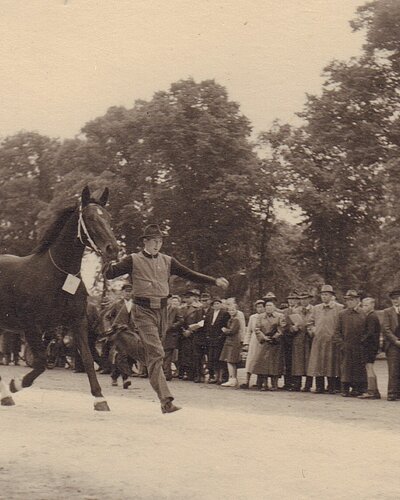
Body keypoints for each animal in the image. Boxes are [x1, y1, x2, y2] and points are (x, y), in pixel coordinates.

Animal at [0, 187, 119, 410]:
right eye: (90, 218)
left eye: (108, 217)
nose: (112, 249)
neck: (59, 275)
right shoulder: (31, 326)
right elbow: (40, 363)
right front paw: (16, 384)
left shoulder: (77, 321)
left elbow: (88, 358)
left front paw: (100, 398)